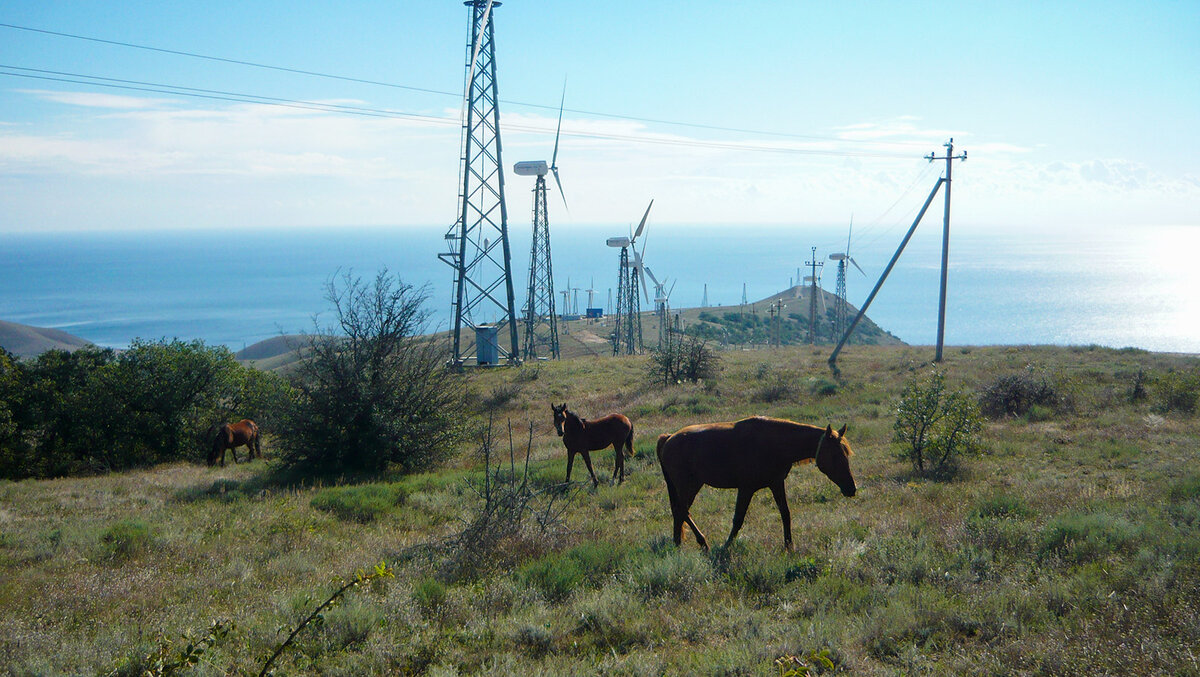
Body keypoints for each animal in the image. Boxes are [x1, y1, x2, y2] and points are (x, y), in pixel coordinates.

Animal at [657, 415, 854, 552]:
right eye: (835, 455)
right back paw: (697, 543)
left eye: (846, 454)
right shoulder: (746, 488)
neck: (773, 445)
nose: (851, 488)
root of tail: (669, 438)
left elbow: (785, 514)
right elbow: (738, 519)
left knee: (680, 512)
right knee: (681, 511)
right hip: (689, 486)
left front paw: (789, 546)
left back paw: (682, 543)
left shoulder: (776, 483)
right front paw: (726, 546)